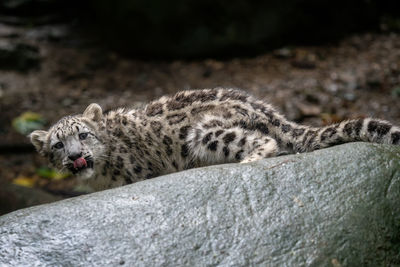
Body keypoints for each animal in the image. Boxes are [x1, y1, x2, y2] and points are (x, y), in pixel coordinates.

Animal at [30, 89, 400, 192]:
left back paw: (248, 161)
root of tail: (267, 109)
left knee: (265, 142)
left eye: (83, 134)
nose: (75, 156)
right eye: (57, 145)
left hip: (205, 133)